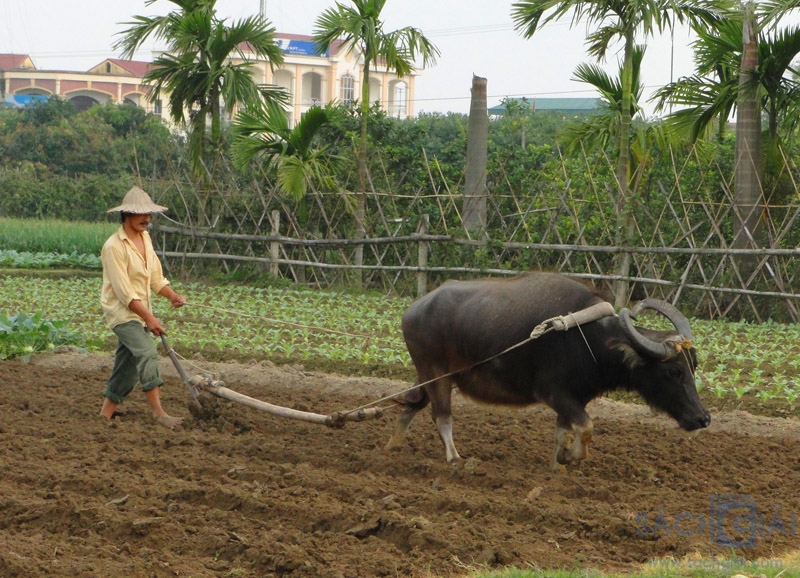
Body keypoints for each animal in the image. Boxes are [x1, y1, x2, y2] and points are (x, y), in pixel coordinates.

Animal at [390, 272, 712, 468]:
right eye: (673, 372)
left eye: (693, 366)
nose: (703, 418)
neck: (589, 341)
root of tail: (411, 311)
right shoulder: (554, 394)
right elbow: (586, 427)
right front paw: (572, 457)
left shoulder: (574, 399)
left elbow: (565, 432)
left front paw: (558, 461)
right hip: (434, 373)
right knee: (442, 416)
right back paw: (455, 459)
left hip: (432, 375)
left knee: (412, 404)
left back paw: (394, 448)